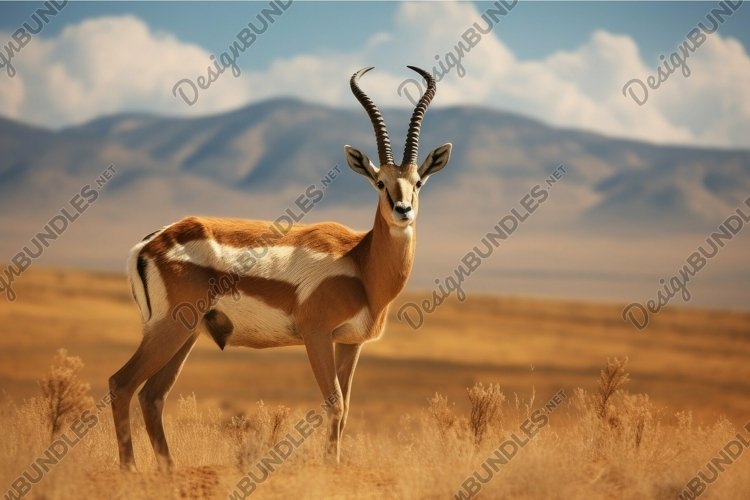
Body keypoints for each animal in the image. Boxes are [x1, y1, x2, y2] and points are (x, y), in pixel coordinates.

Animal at [109, 66, 452, 471]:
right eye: (380, 182)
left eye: (418, 182)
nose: (403, 210)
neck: (361, 262)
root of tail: (151, 241)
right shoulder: (316, 335)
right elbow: (334, 405)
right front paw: (330, 468)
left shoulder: (349, 343)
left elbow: (346, 409)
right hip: (168, 330)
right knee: (122, 384)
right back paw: (130, 470)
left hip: (186, 334)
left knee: (152, 396)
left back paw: (169, 469)